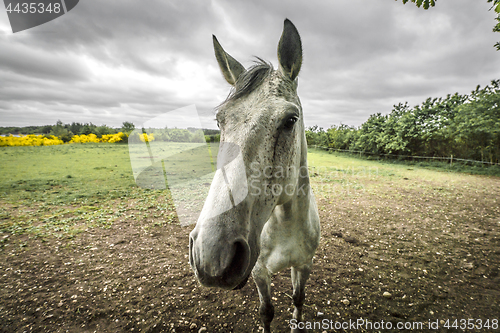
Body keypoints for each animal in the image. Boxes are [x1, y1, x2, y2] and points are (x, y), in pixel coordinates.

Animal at [188, 19, 320, 330]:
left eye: (290, 120)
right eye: (219, 121)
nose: (212, 254)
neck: (286, 225)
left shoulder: (304, 265)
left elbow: (298, 300)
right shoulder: (260, 272)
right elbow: (266, 311)